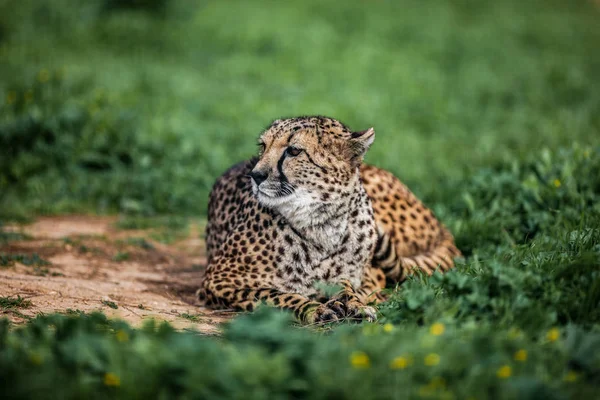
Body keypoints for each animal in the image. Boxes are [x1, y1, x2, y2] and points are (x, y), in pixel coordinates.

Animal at [199, 115, 462, 322]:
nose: (255, 175)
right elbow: (275, 294)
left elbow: (347, 286)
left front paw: (354, 303)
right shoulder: (218, 280)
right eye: (263, 146)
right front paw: (314, 308)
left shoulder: (354, 273)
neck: (320, 224)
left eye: (294, 150)